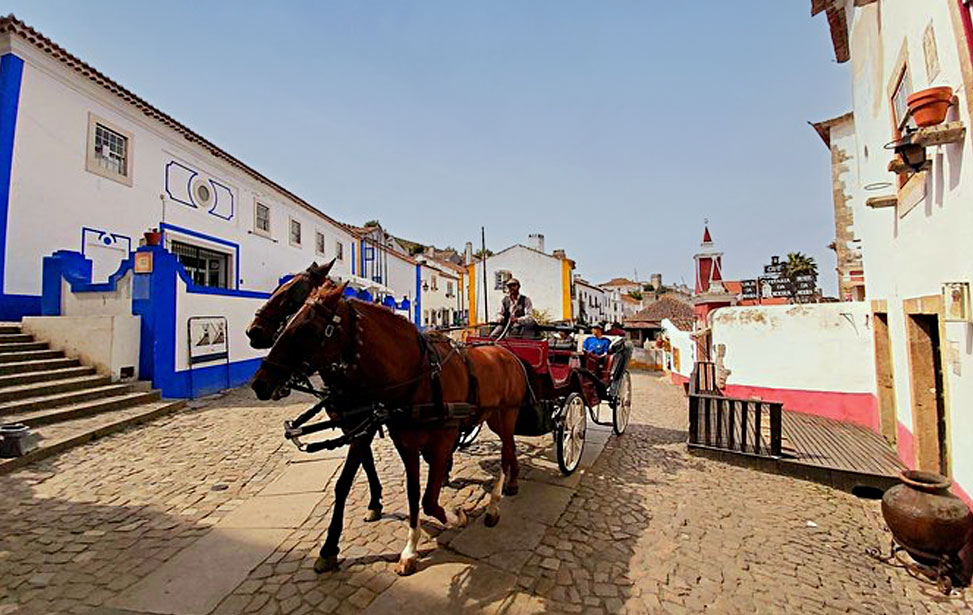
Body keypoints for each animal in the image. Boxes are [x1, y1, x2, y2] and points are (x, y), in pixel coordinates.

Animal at [243, 262, 388, 572]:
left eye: (290, 294)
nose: (252, 332)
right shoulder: (354, 426)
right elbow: (367, 463)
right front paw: (374, 502)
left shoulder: (365, 426)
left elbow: (344, 483)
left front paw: (330, 546)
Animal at [249, 282, 524, 576]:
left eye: (307, 329)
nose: (259, 383)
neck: (417, 376)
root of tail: (504, 351)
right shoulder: (400, 442)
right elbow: (414, 493)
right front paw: (409, 549)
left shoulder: (437, 442)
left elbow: (428, 500)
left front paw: (456, 517)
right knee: (508, 451)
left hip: (506, 416)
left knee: (506, 453)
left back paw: (496, 503)